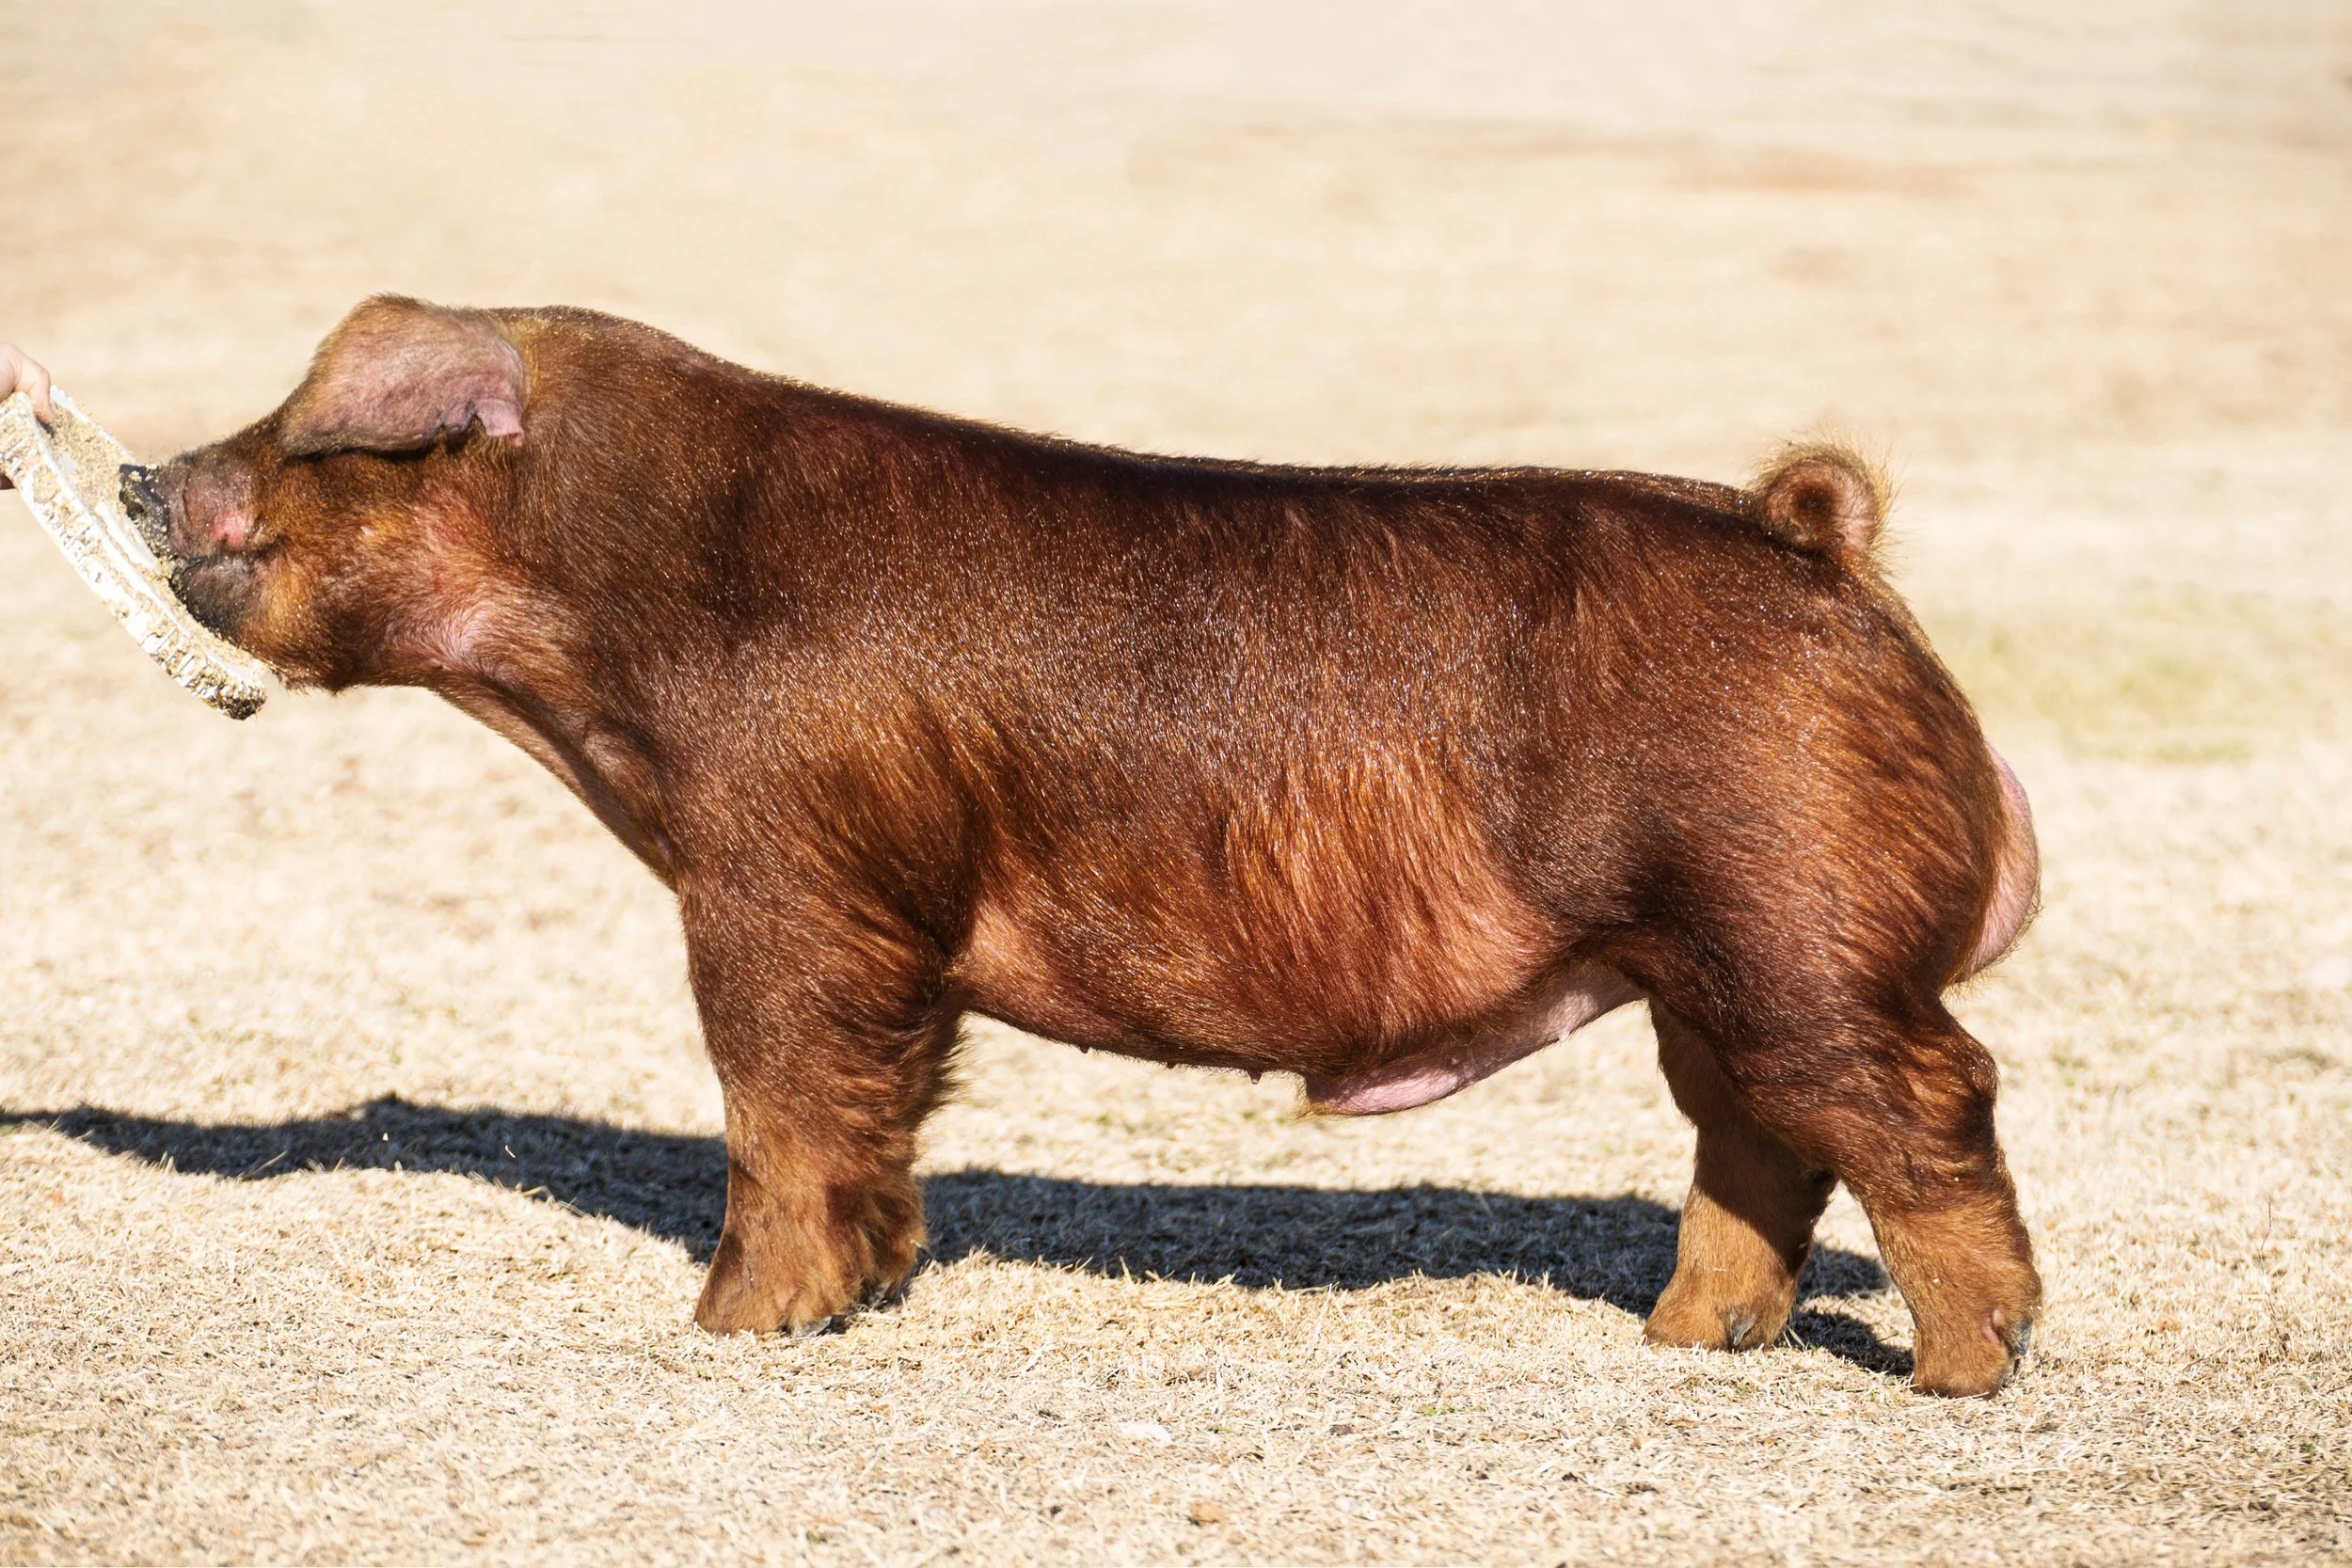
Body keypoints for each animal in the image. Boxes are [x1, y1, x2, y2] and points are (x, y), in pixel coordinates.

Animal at [125, 296, 2040, 1395]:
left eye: (309, 433)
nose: (150, 475)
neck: (612, 629)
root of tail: (1819, 542)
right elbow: (877, 1107)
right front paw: (866, 1294)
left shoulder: (782, 868)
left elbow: (776, 1095)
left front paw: (733, 1331)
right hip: (1707, 960)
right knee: (1761, 1137)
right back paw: (1685, 1344)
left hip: (1797, 922)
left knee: (1928, 1103)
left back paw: (1963, 1374)